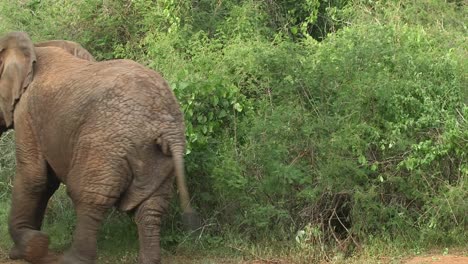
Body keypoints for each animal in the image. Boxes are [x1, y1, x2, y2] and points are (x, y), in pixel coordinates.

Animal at [0, 32, 199, 262]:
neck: (34, 47)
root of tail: (168, 125)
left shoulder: (26, 112)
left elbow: (33, 176)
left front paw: (28, 249)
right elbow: (47, 181)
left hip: (105, 145)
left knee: (88, 196)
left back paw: (72, 259)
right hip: (159, 158)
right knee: (151, 206)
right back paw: (148, 260)